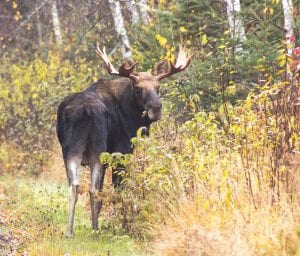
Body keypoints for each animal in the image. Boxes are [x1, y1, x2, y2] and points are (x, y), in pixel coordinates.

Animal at [56, 44, 192, 238]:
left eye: (158, 87)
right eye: (138, 88)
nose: (156, 109)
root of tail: (84, 110)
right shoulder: (121, 152)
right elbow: (121, 189)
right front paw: (126, 226)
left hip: (70, 149)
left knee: (74, 186)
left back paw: (70, 231)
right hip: (98, 149)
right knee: (92, 188)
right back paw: (95, 229)